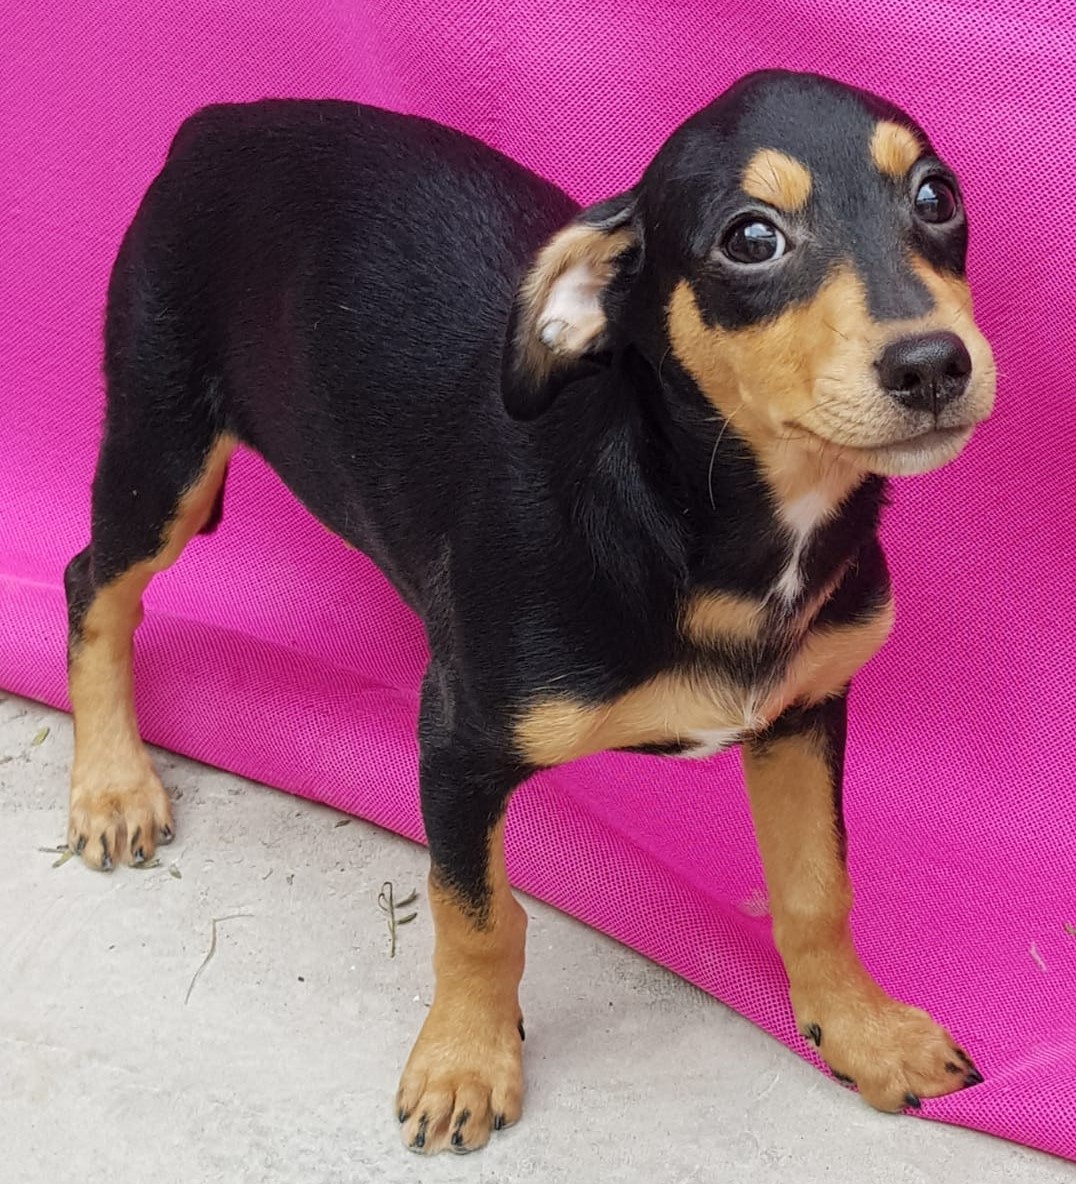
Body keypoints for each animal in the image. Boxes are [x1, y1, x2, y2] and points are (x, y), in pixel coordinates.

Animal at [63, 69, 994, 1150]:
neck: (705, 518)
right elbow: (476, 918)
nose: (933, 366)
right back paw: (111, 787)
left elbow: (816, 889)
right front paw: (464, 1062)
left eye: (935, 198)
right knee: (92, 587)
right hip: (159, 446)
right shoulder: (457, 744)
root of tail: (218, 120)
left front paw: (860, 1031)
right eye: (750, 239)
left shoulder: (801, 714)